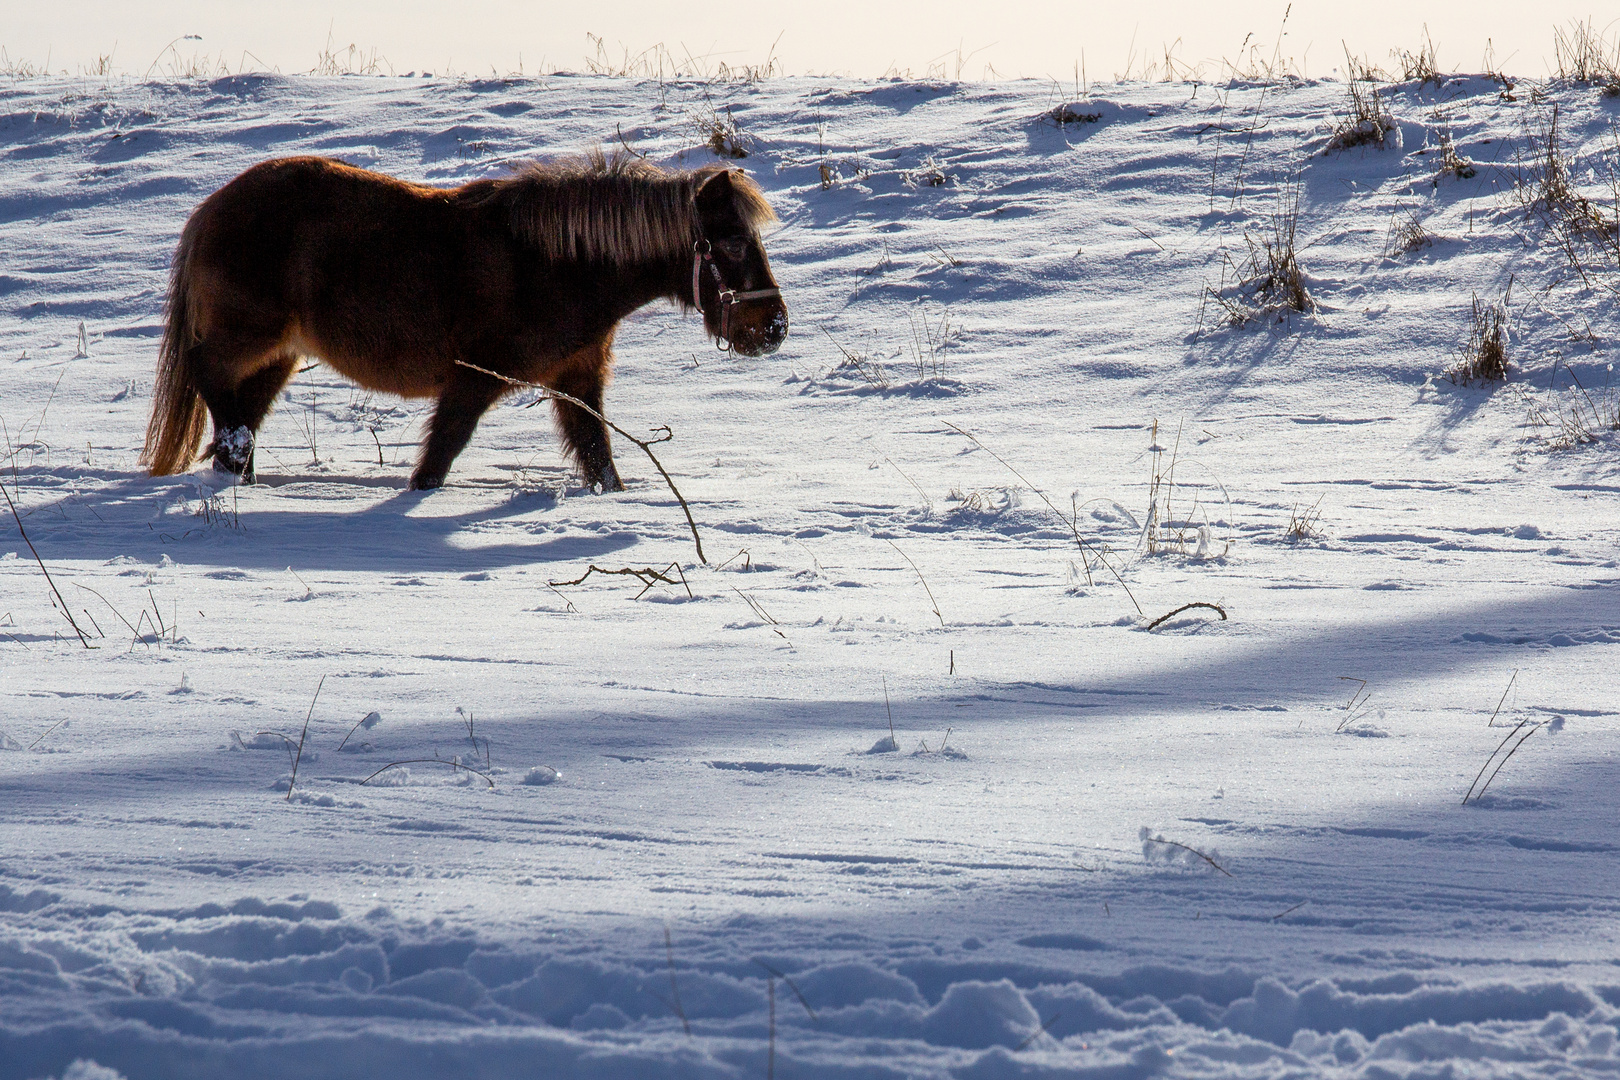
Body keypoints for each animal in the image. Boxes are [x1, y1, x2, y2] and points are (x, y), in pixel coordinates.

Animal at [142, 152, 787, 488]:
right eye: (731, 243)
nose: (774, 327)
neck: (556, 265)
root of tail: (212, 208)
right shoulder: (473, 380)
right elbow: (441, 453)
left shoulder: (577, 379)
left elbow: (599, 456)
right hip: (249, 336)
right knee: (209, 377)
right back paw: (235, 460)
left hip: (279, 354)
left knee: (242, 405)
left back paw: (238, 473)